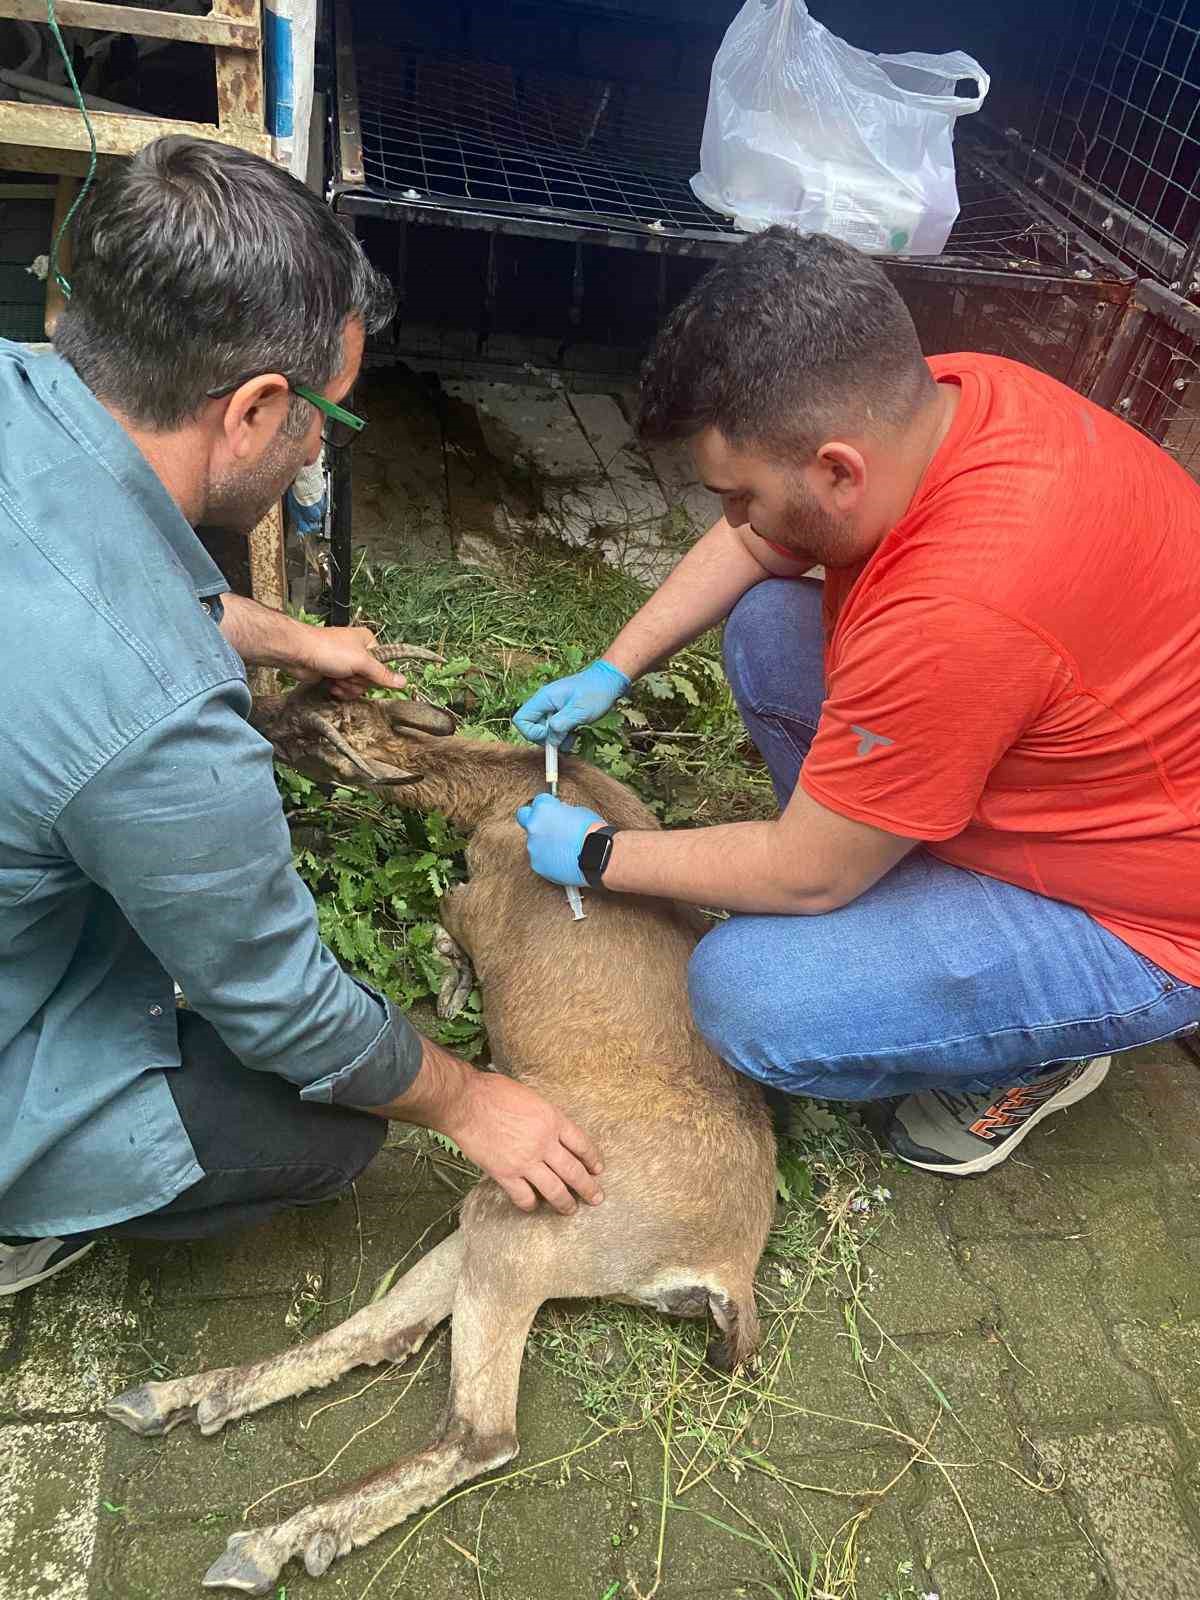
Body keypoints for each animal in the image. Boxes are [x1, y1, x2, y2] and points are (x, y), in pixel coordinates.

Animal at [105, 656, 780, 1593]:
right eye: (312, 692)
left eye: (308, 732)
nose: (249, 710)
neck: (513, 793)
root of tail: (727, 1271)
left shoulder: (471, 895)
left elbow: (448, 919)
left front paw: (455, 979)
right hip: (502, 1216)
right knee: (383, 1329)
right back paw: (183, 1399)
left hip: (531, 1227)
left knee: (480, 1432)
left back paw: (270, 1538)